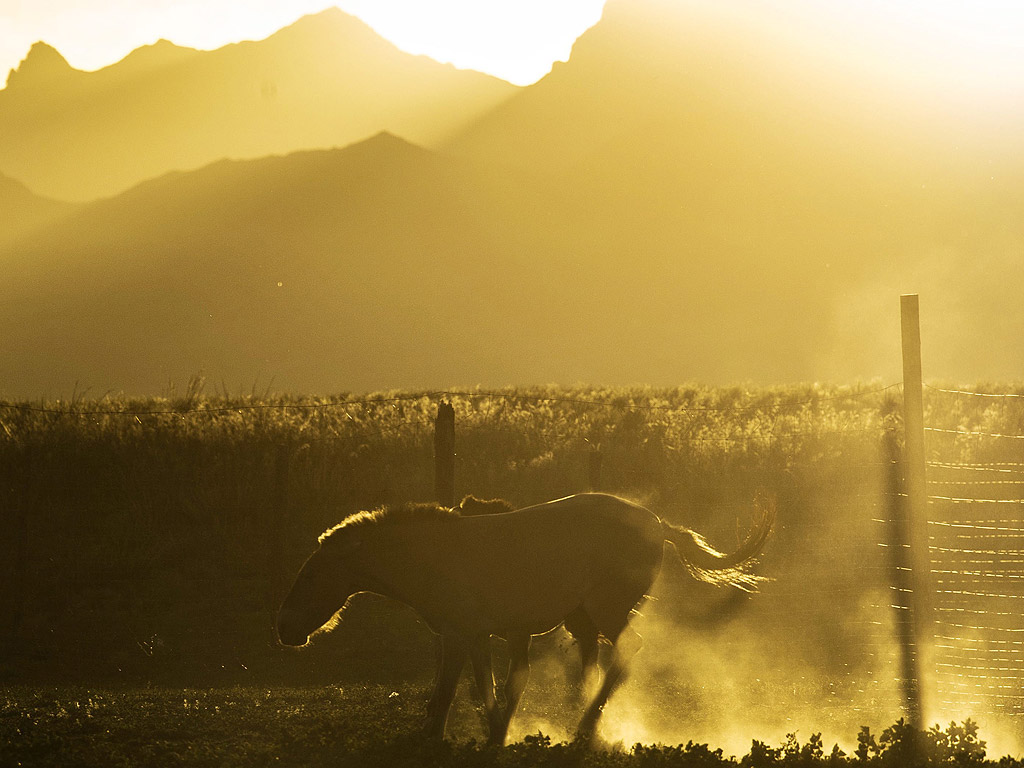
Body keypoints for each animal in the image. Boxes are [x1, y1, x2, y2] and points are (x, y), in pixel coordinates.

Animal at [276, 493, 770, 745]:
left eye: (314, 574)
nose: (285, 629)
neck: (431, 554)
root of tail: (659, 524)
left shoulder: (457, 635)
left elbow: (448, 692)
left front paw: (435, 736)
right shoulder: (478, 636)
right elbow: (488, 686)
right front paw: (496, 731)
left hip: (607, 611)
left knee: (627, 652)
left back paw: (585, 727)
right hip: (583, 619)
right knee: (593, 662)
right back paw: (582, 721)